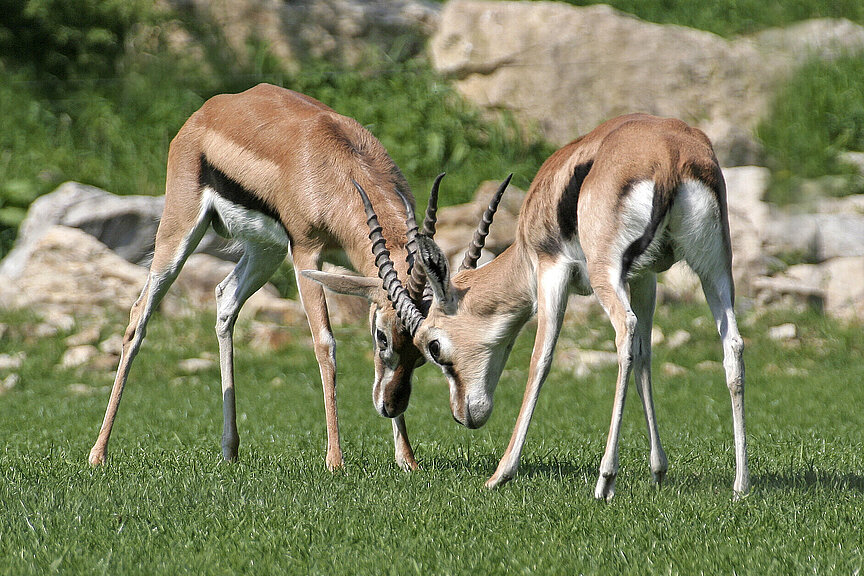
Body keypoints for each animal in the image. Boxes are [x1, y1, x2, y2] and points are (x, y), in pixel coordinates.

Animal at [88, 83, 441, 471]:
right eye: (382, 338)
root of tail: (207, 111)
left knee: (225, 298)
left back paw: (229, 450)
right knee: (139, 315)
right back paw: (98, 454)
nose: (390, 405)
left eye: (424, 350)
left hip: (265, 251)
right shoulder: (305, 252)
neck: (342, 165)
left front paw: (407, 459)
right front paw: (335, 460)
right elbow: (325, 344)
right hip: (179, 233)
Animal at [359, 113, 749, 499]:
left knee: (625, 332)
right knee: (731, 345)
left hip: (607, 272)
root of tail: (671, 154)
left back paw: (605, 481)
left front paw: (501, 474)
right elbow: (646, 359)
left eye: (434, 347)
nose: (463, 415)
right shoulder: (645, 278)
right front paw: (658, 470)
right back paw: (740, 484)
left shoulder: (551, 273)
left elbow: (540, 361)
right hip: (715, 268)